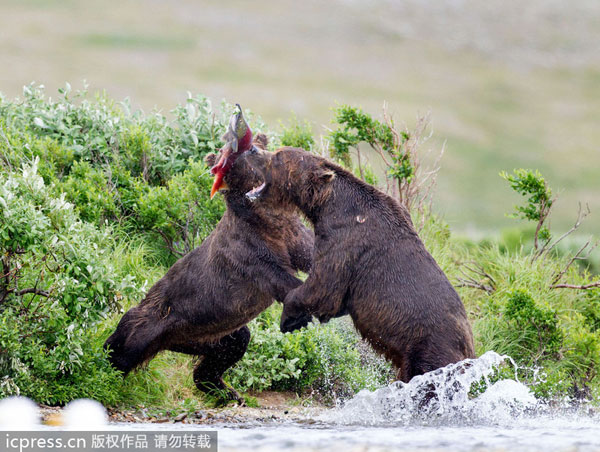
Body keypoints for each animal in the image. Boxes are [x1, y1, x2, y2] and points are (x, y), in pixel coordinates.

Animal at [105, 107, 312, 400]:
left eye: (258, 147)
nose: (245, 150)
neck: (266, 219)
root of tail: (167, 342)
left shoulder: (291, 234)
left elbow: (312, 253)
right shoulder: (248, 252)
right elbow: (278, 277)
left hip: (208, 333)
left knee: (234, 344)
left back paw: (225, 390)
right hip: (158, 318)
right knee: (124, 343)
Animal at [243, 147, 474, 382]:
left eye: (278, 157)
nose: (252, 149)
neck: (326, 206)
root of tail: (468, 352)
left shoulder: (345, 241)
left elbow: (323, 288)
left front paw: (289, 319)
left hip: (427, 347)